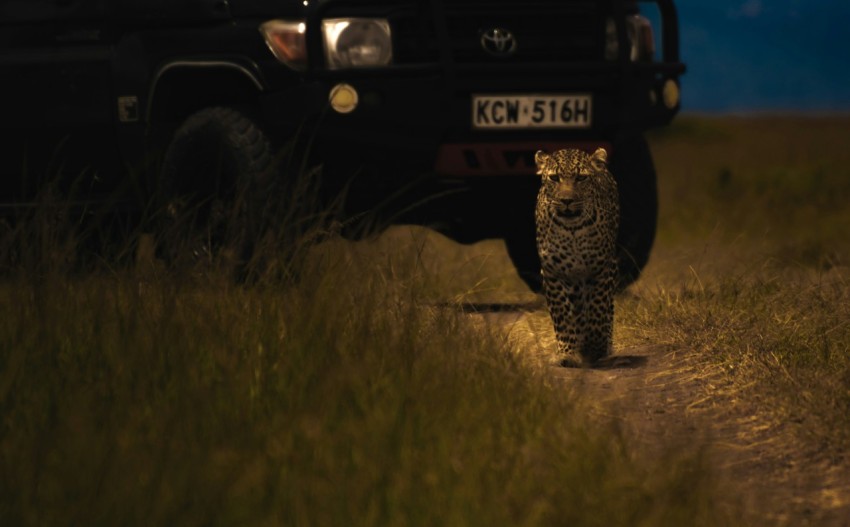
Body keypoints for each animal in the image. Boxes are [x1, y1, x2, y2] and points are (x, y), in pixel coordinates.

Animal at [532, 146, 620, 366]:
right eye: (554, 178)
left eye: (581, 178)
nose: (566, 201)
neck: (572, 229)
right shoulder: (553, 272)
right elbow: (562, 315)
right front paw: (568, 352)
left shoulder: (601, 268)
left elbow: (598, 308)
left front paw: (595, 346)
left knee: (606, 310)